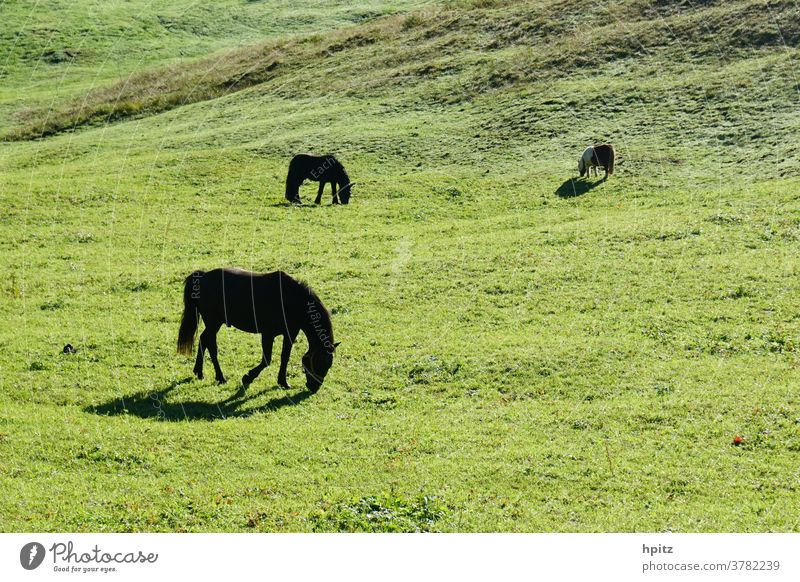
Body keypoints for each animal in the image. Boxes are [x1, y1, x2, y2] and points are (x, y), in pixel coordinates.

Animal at [175, 270, 338, 392]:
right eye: (319, 362)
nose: (314, 388)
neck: (293, 300)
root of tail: (202, 276)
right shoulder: (268, 334)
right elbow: (266, 359)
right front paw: (248, 377)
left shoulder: (290, 334)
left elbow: (284, 357)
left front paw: (283, 382)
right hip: (214, 323)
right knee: (210, 345)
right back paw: (220, 377)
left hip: (213, 324)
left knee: (203, 340)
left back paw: (199, 372)